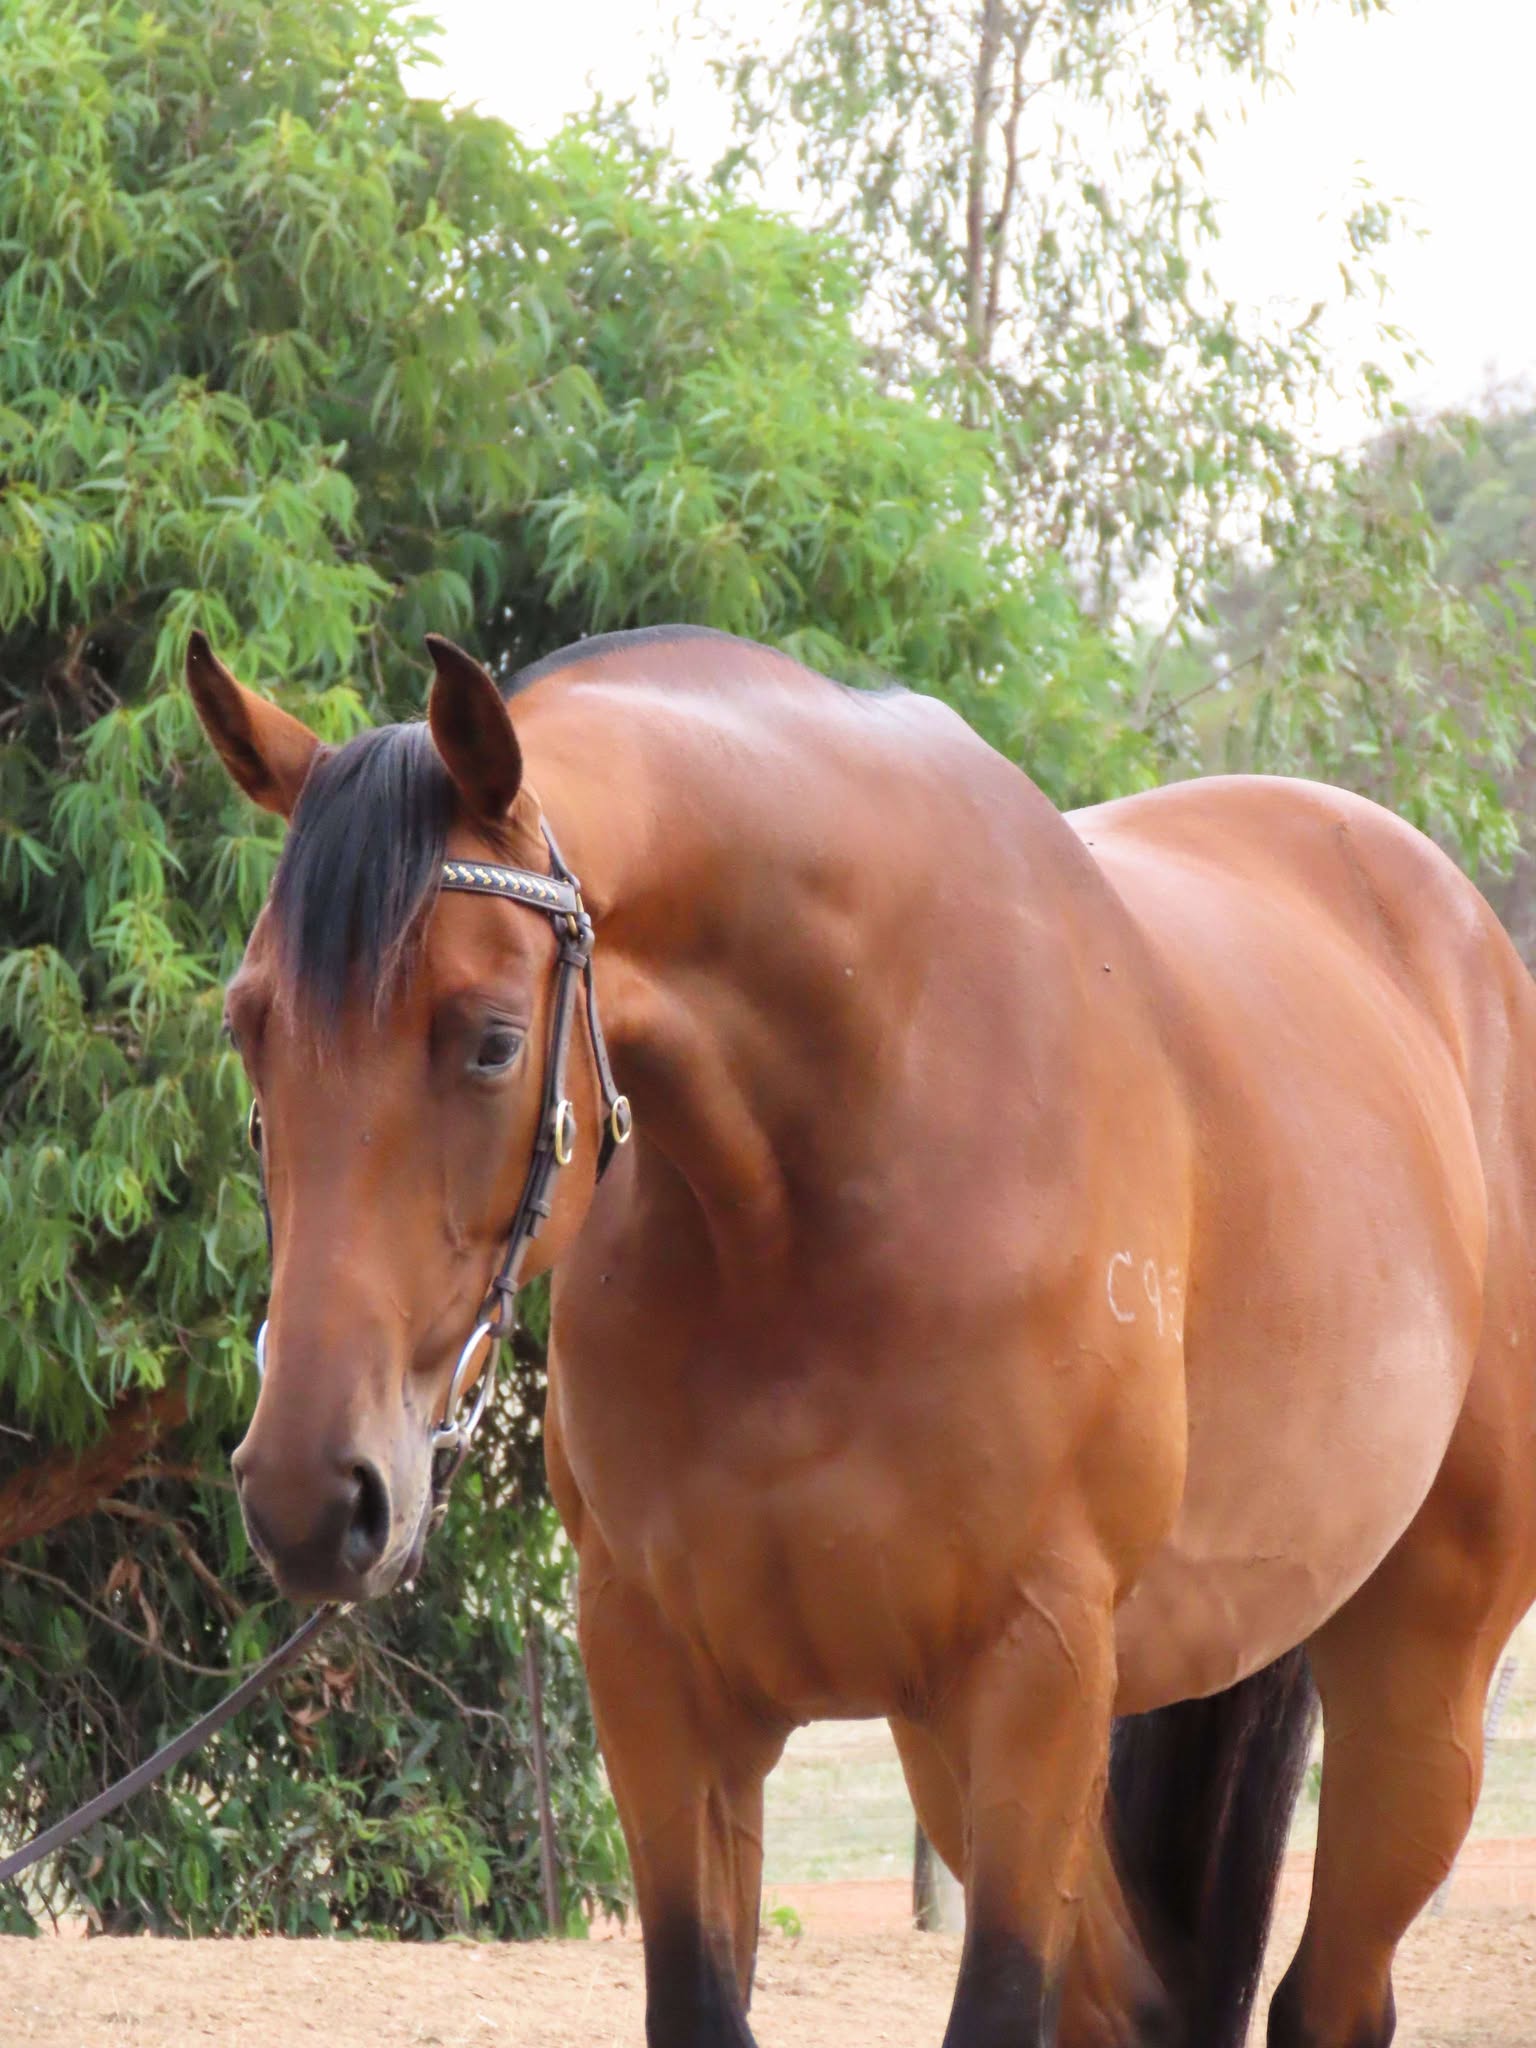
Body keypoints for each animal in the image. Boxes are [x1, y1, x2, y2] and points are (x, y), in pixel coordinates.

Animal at [185, 621, 1536, 2048]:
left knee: (1332, 1991)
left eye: (492, 1042)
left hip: (1414, 1682)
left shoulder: (1037, 1681)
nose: (309, 1494)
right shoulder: (662, 1687)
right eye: (249, 1027)